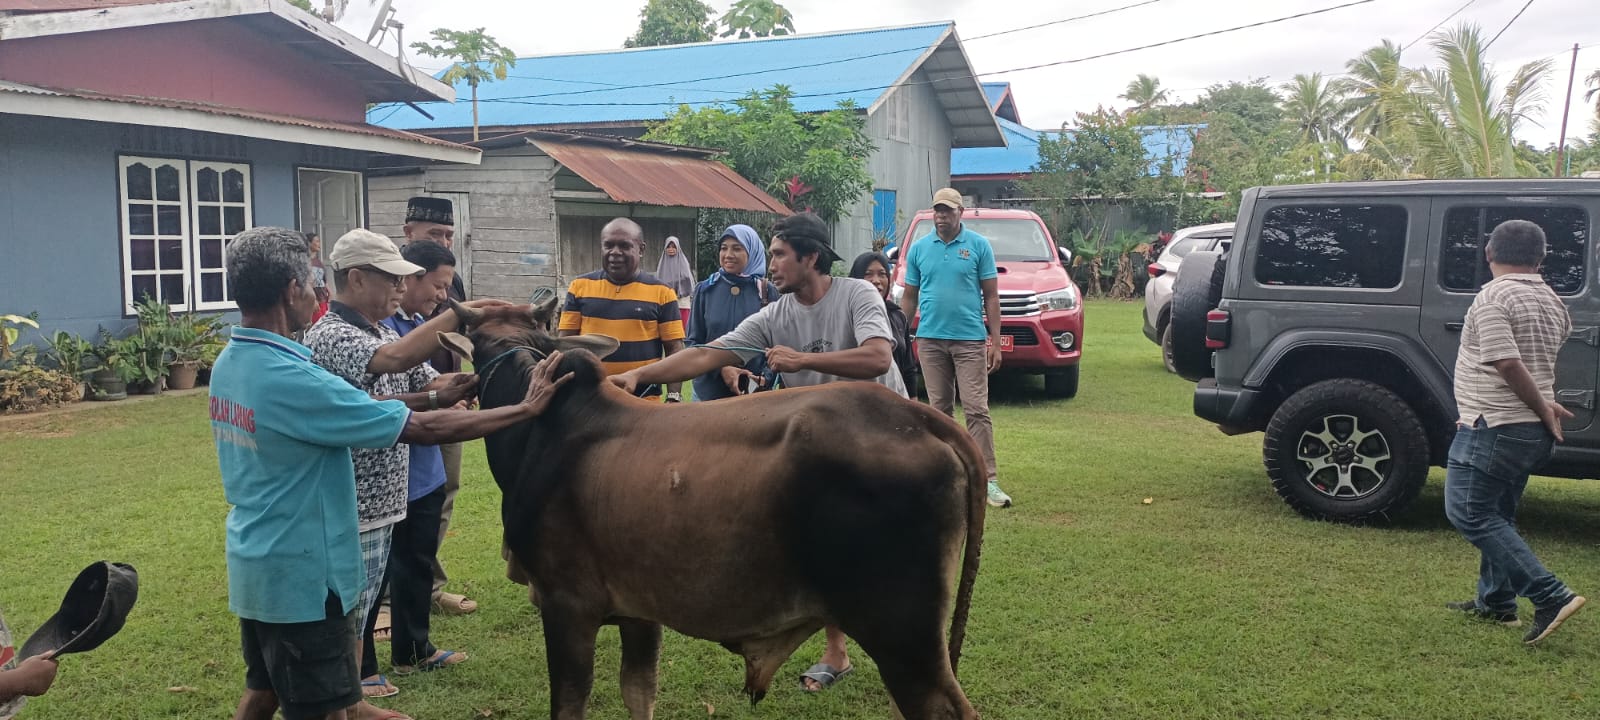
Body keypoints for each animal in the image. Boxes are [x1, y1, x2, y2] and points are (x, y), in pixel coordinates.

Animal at [444, 296, 979, 716]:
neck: (538, 430)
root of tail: (920, 418)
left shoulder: (566, 604)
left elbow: (570, 705)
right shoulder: (640, 612)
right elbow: (639, 693)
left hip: (903, 638)